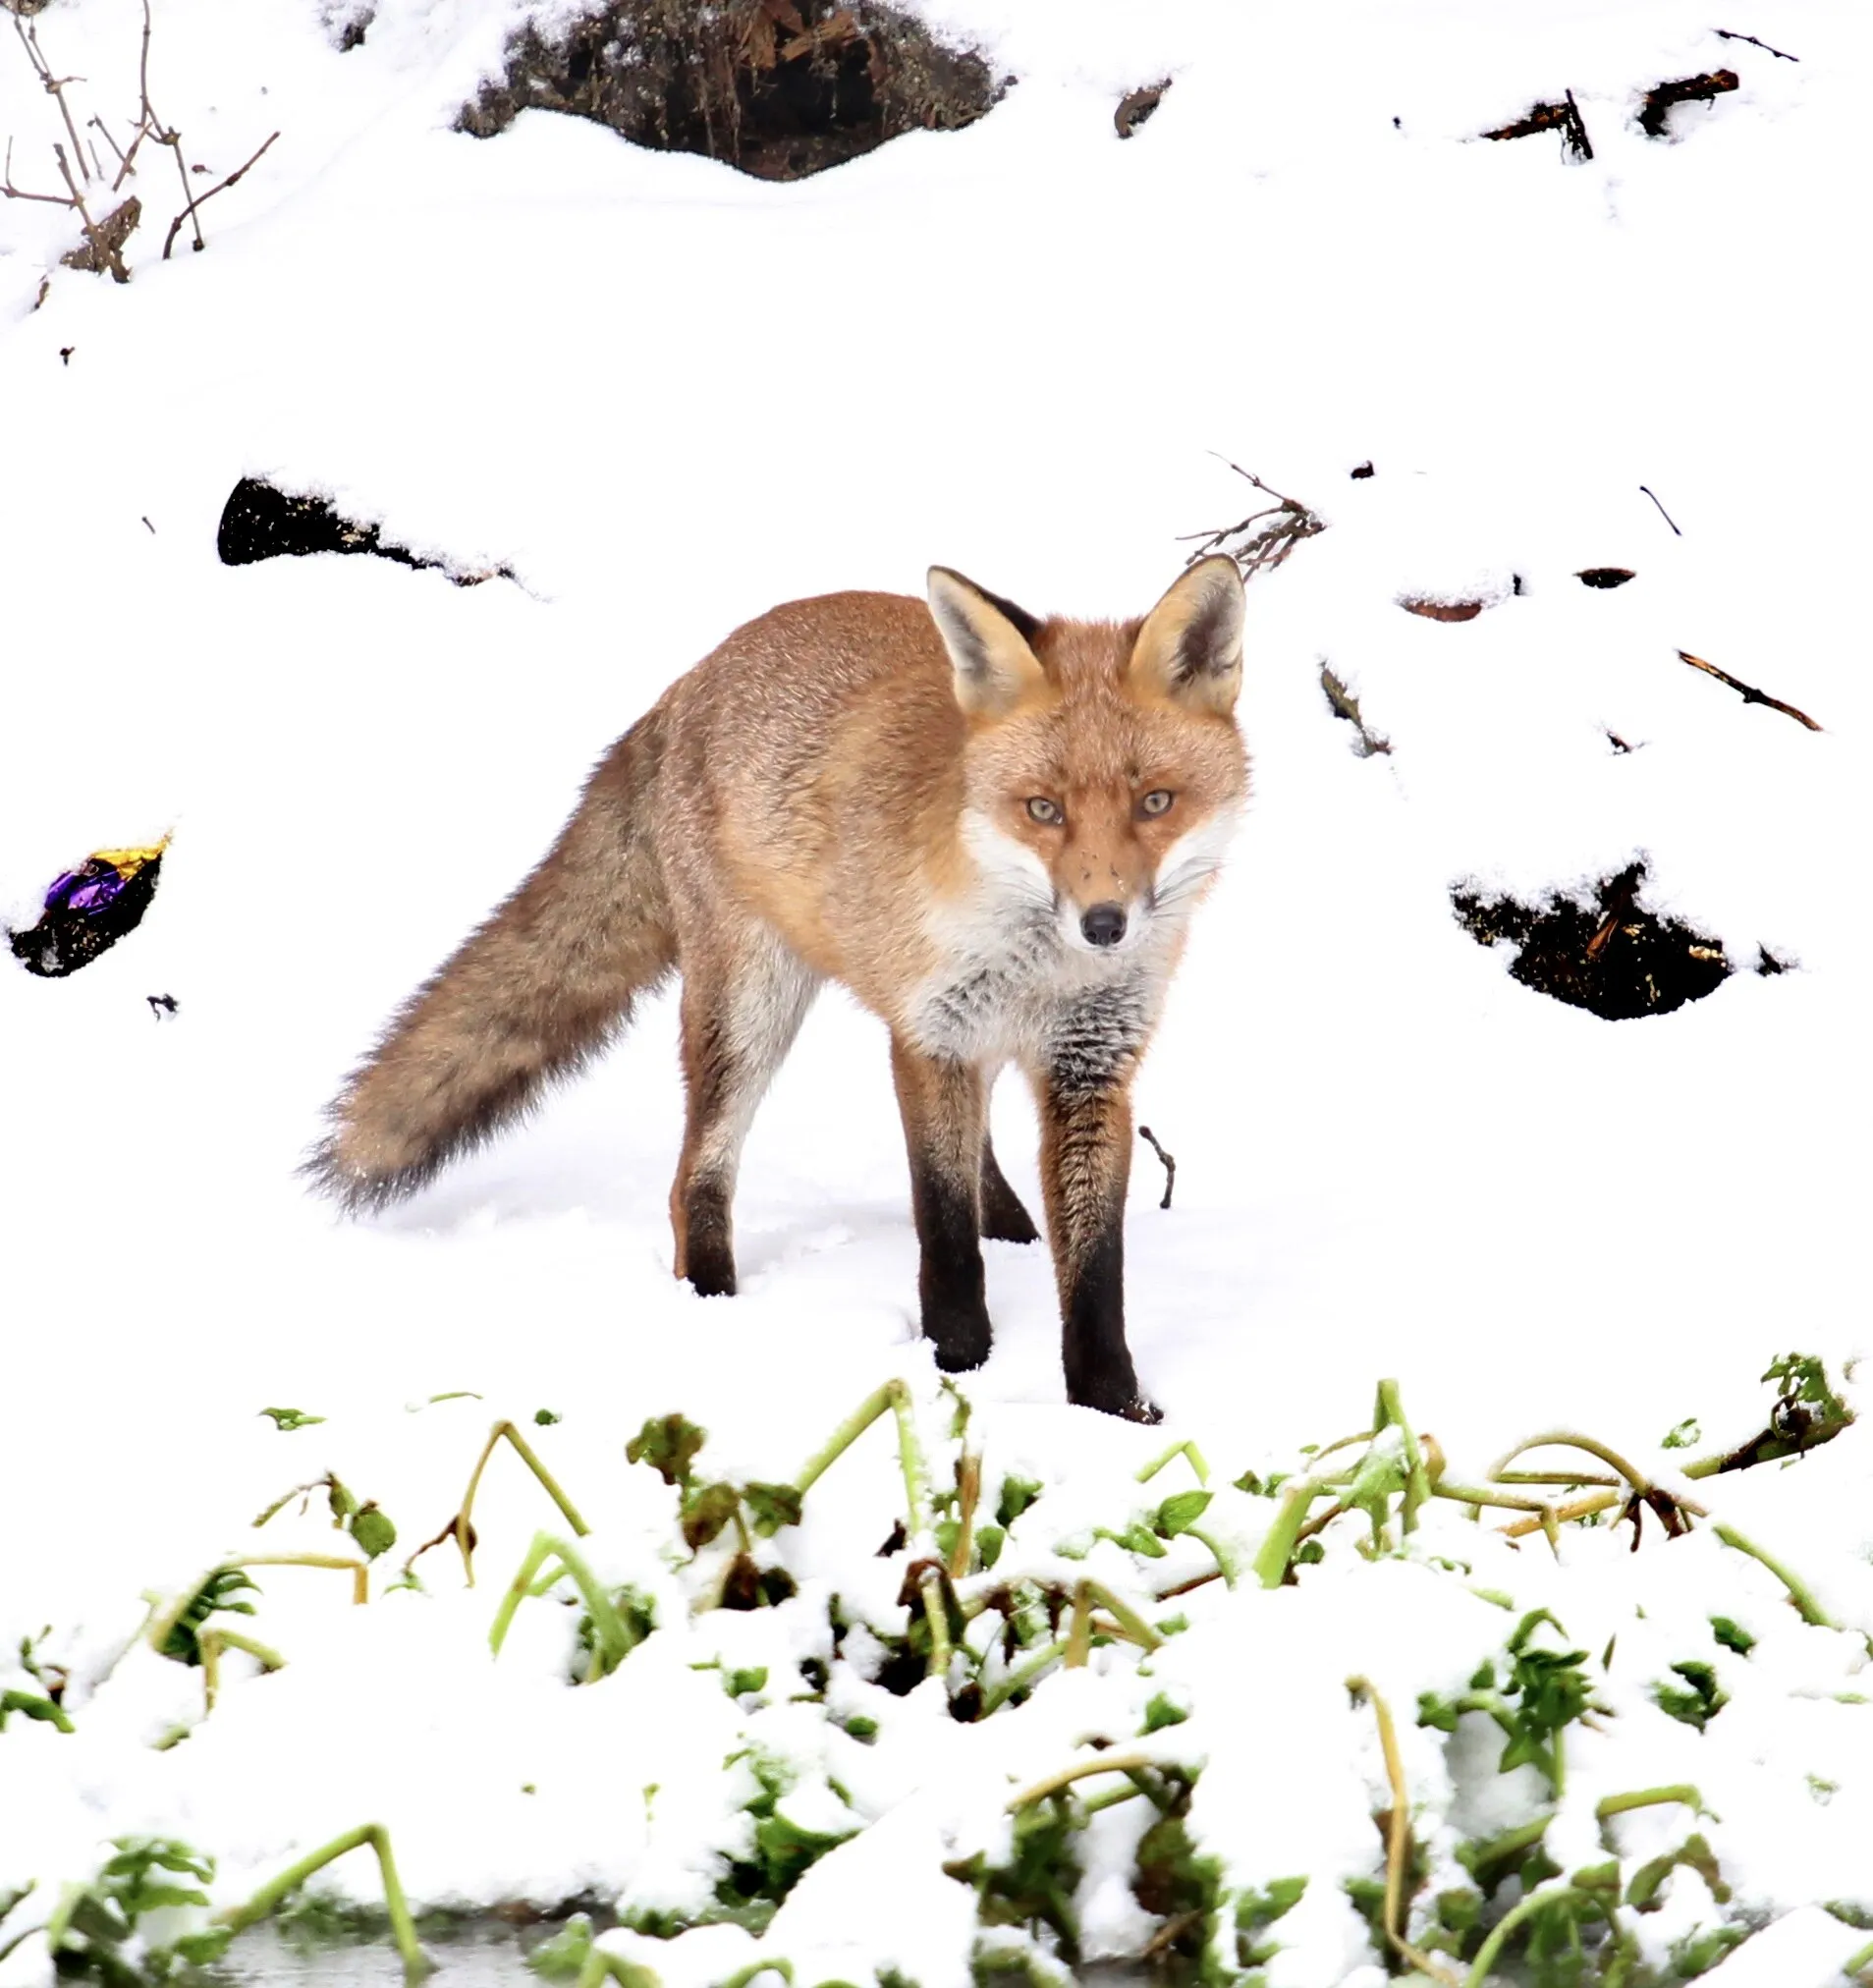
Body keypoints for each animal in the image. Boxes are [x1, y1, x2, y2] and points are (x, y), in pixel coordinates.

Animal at [308, 557, 1248, 1420]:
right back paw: (713, 1304)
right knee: (695, 1177)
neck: (1041, 968)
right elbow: (942, 1228)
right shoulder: (927, 1038)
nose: (1104, 924)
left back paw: (1012, 1228)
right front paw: (957, 1364)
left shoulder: (1088, 1067)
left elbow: (1093, 1266)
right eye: (1043, 810)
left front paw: (1110, 1405)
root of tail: (691, 677)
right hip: (749, 1008)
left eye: (1155, 802)